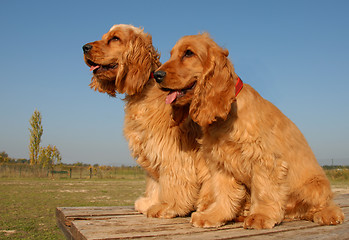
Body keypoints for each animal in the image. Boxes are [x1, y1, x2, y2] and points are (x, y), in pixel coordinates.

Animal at [83, 25, 211, 218]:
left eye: (115, 39)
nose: (84, 47)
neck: (144, 88)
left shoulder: (171, 150)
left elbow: (173, 180)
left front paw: (168, 206)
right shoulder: (150, 147)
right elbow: (154, 183)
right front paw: (150, 202)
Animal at [154, 32, 342, 230]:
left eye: (188, 53)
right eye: (171, 54)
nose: (156, 75)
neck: (227, 115)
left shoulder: (264, 158)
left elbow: (264, 190)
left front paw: (260, 216)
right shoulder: (221, 162)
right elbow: (223, 192)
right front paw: (214, 216)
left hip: (315, 185)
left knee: (323, 205)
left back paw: (328, 214)